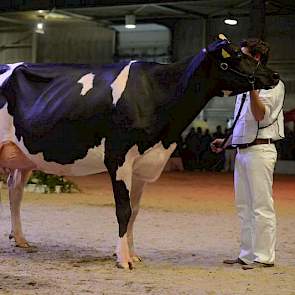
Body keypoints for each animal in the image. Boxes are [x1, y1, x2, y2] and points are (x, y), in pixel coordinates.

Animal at [0, 35, 280, 270]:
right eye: (235, 55)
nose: (275, 74)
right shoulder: (118, 158)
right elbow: (123, 210)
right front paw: (123, 259)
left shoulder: (143, 166)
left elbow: (134, 211)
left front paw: (133, 254)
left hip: (24, 158)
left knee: (15, 192)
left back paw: (21, 239)